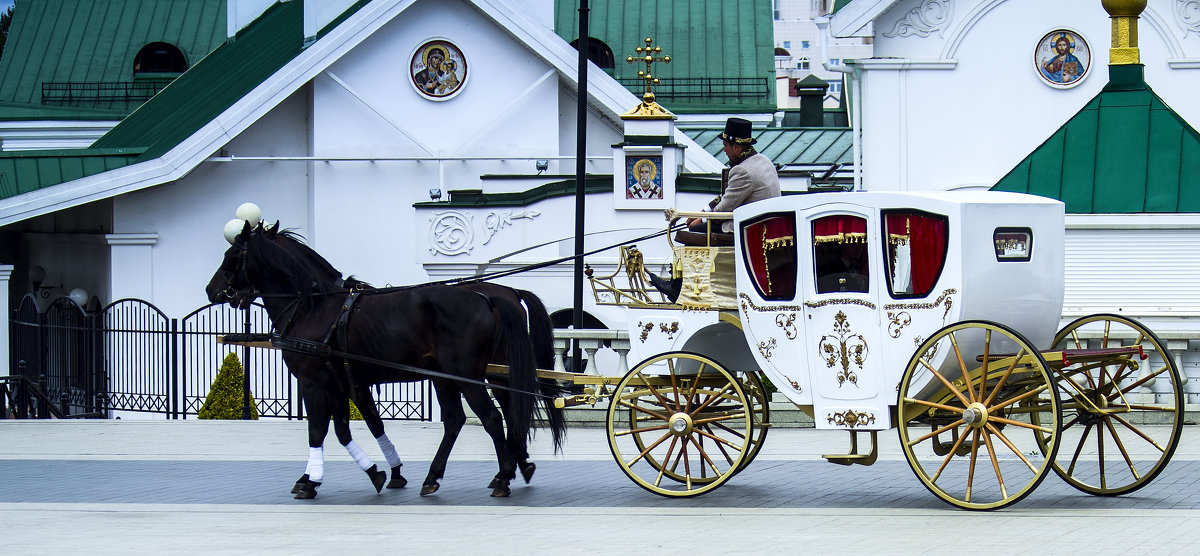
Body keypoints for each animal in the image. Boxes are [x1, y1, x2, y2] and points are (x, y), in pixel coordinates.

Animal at [207, 224, 544, 499]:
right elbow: (350, 428)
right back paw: (440, 476)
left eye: (232, 254)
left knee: (492, 418)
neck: (314, 308)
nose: (212, 290)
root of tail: (489, 298)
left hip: (466, 377)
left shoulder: (314, 383)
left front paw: (311, 480)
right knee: (458, 420)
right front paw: (379, 472)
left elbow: (318, 430)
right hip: (448, 377)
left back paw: (503, 476)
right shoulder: (343, 384)